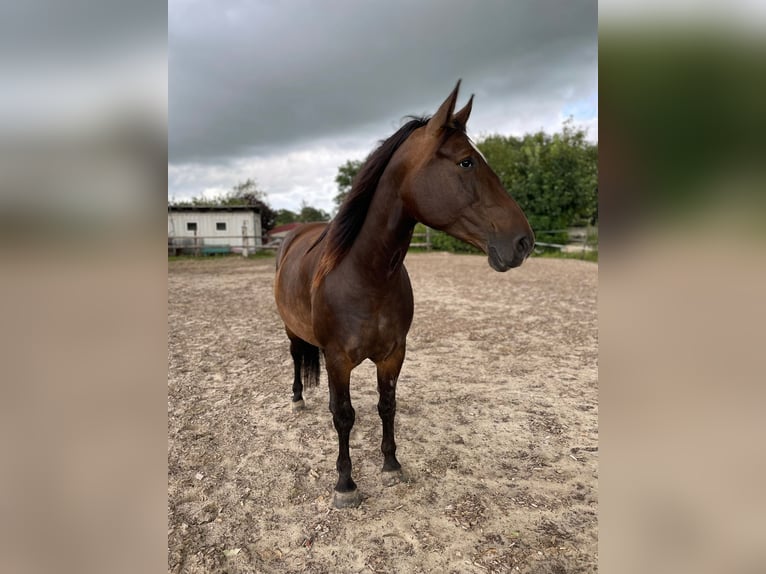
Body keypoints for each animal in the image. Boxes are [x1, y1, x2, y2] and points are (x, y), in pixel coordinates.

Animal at [274, 81, 536, 508]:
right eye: (466, 162)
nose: (523, 242)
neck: (366, 276)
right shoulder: (337, 360)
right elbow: (343, 415)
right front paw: (345, 484)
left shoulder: (394, 354)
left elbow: (387, 405)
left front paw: (391, 466)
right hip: (290, 328)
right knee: (297, 357)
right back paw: (297, 398)